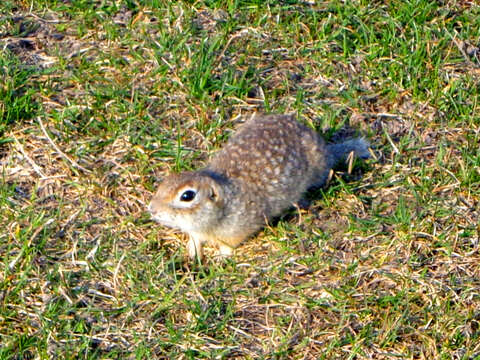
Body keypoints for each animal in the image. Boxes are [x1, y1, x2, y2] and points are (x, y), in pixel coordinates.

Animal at [148, 114, 370, 260]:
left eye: (187, 196)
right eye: (164, 183)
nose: (152, 209)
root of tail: (326, 148)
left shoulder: (235, 231)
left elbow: (228, 247)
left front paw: (220, 258)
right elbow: (194, 239)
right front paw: (193, 253)